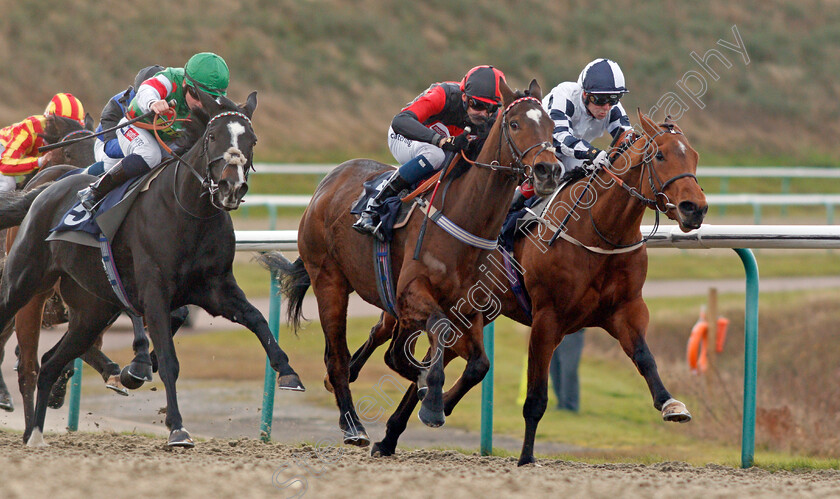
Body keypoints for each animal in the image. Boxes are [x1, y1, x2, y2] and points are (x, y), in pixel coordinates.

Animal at [260, 80, 564, 448]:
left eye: (551, 126)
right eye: (516, 124)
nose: (548, 171)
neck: (464, 217)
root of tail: (328, 182)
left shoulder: (471, 308)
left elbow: (477, 363)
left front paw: (428, 393)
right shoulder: (413, 293)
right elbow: (431, 339)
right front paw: (430, 401)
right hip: (329, 279)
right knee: (337, 356)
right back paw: (353, 425)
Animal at [338, 111, 704, 462]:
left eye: (695, 157)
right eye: (660, 155)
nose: (695, 209)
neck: (600, 232)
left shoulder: (625, 310)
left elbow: (645, 357)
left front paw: (671, 404)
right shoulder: (547, 319)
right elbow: (536, 398)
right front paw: (527, 457)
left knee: (437, 361)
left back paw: (394, 433)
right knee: (385, 331)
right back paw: (354, 372)